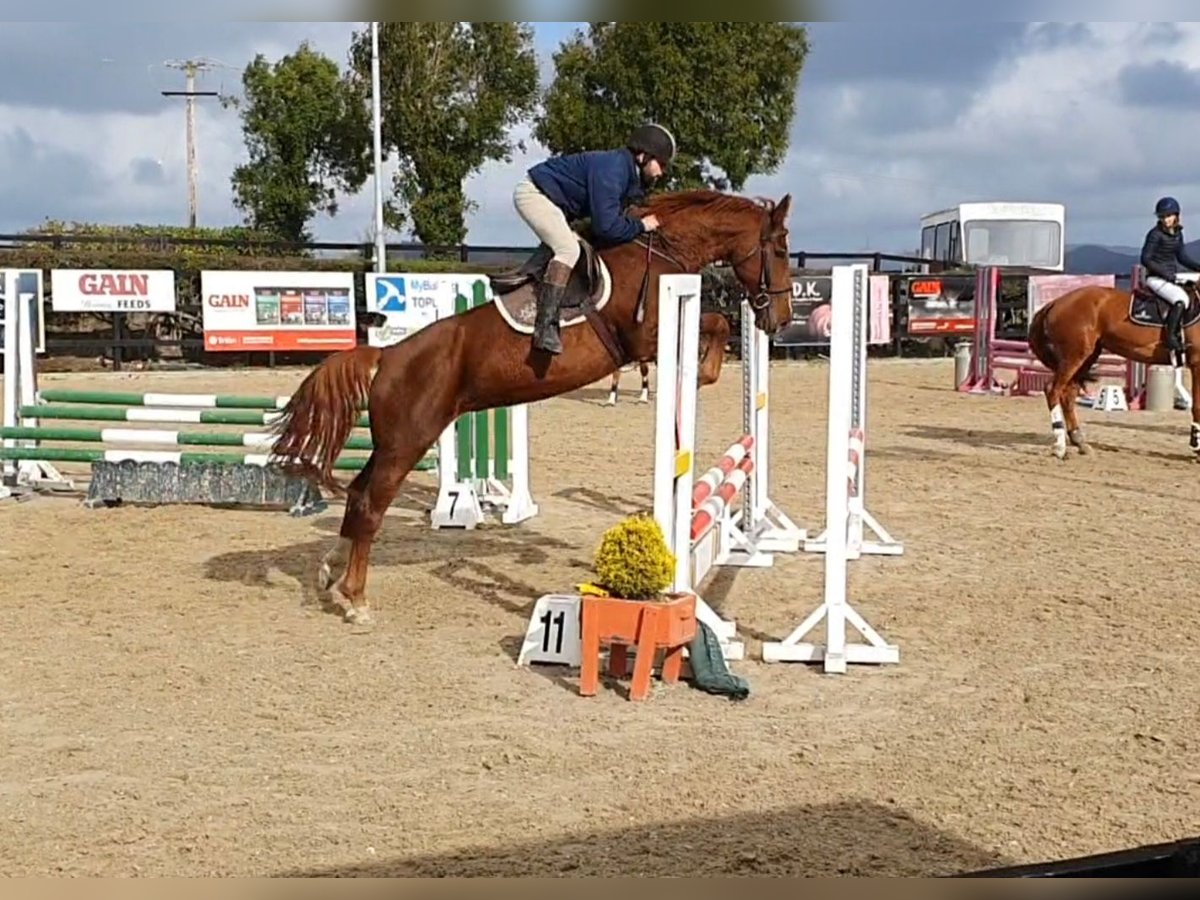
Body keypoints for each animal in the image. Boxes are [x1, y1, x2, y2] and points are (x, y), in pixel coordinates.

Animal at [272, 188, 796, 628]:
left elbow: (716, 323)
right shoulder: (644, 338)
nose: (780, 320)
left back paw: (331, 576)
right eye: (781, 251)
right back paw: (357, 600)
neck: (660, 249)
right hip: (408, 441)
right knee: (370, 505)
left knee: (357, 496)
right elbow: (715, 322)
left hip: (392, 443)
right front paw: (702, 372)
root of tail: (387, 355)